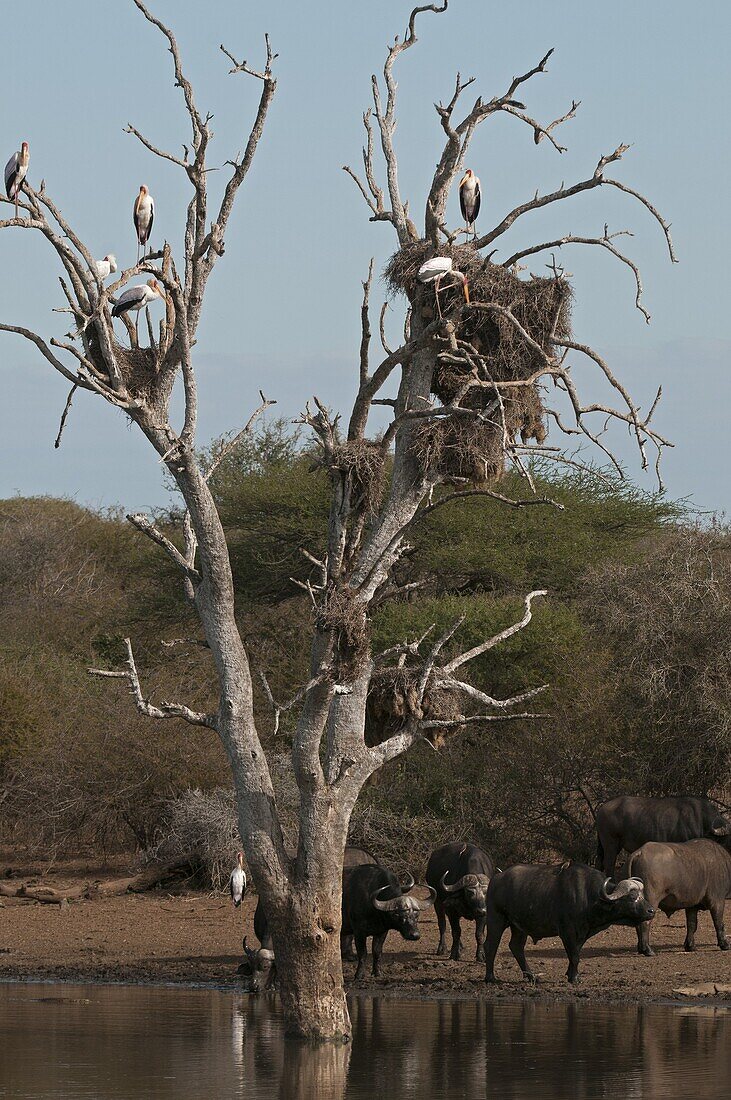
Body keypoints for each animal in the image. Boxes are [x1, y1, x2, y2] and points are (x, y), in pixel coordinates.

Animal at [483, 862, 650, 985]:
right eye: (633, 897)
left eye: (642, 895)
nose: (651, 910)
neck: (589, 896)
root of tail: (496, 878)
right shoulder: (567, 931)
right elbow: (574, 955)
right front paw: (575, 978)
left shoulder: (582, 933)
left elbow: (575, 953)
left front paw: (571, 974)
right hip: (496, 920)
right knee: (490, 945)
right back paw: (490, 977)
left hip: (519, 927)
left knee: (516, 947)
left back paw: (531, 976)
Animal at [593, 796, 729, 871]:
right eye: (729, 838)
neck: (700, 820)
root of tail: (602, 809)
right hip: (610, 843)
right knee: (609, 863)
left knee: (600, 862)